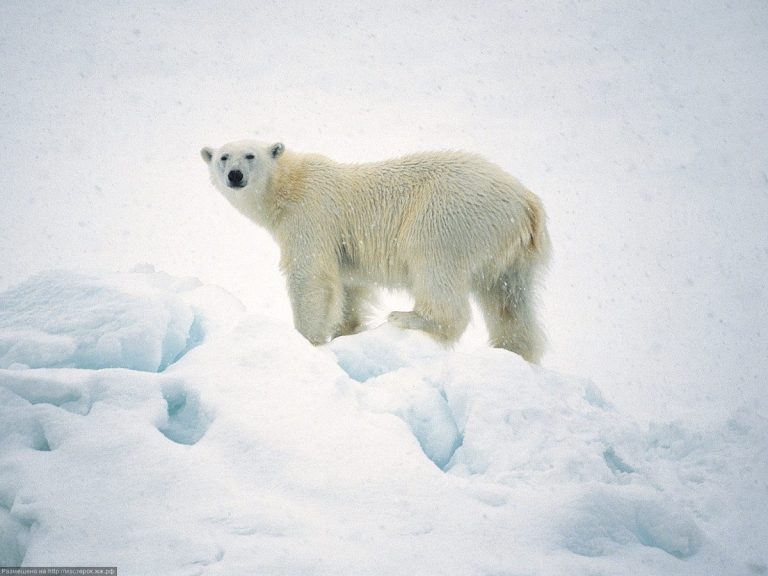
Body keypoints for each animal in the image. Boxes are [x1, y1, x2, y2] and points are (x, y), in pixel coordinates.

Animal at [202, 141, 552, 362]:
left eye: (250, 155)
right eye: (223, 157)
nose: (235, 175)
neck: (289, 185)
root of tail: (527, 201)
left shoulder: (310, 215)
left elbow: (310, 276)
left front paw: (307, 339)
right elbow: (349, 287)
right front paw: (346, 331)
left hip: (451, 214)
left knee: (433, 261)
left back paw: (410, 317)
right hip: (512, 251)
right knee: (509, 300)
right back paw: (513, 350)